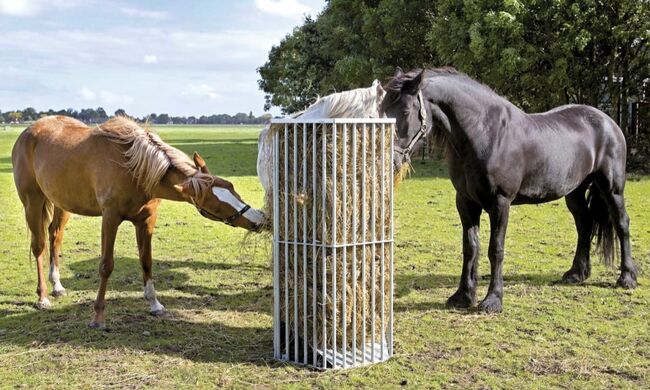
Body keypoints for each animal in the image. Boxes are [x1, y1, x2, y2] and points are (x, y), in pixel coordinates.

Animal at [12, 116, 264, 330]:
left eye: (231, 186)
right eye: (214, 205)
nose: (259, 219)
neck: (134, 168)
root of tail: (29, 132)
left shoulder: (146, 221)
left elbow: (146, 262)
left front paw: (155, 304)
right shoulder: (110, 218)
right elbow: (106, 266)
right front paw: (98, 316)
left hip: (62, 204)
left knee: (55, 236)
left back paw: (57, 286)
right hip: (32, 202)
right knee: (39, 246)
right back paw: (43, 297)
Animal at [382, 66, 636, 310]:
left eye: (405, 112)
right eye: (383, 108)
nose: (390, 162)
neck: (485, 134)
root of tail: (608, 121)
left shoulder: (500, 202)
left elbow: (495, 249)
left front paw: (493, 300)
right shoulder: (465, 201)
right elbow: (470, 247)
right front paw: (463, 296)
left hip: (612, 188)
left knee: (621, 224)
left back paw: (627, 277)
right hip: (574, 192)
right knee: (584, 225)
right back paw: (576, 274)